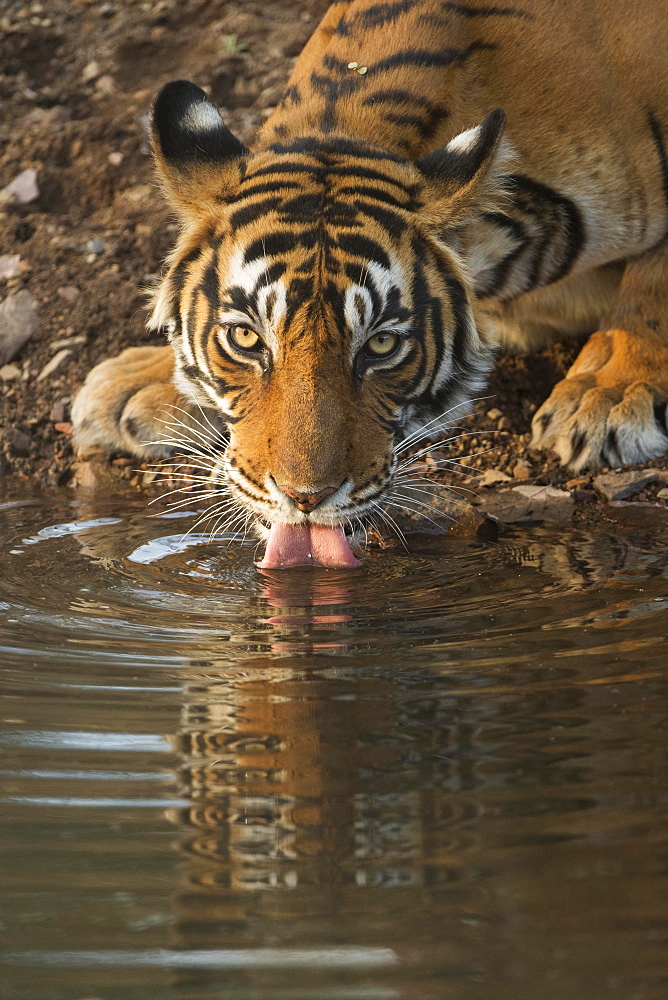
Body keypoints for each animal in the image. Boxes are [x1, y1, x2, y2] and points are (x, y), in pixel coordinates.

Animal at [70, 0, 668, 568]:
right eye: (245, 338)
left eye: (381, 345)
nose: (304, 498)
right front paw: (140, 383)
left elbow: (652, 284)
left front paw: (608, 393)